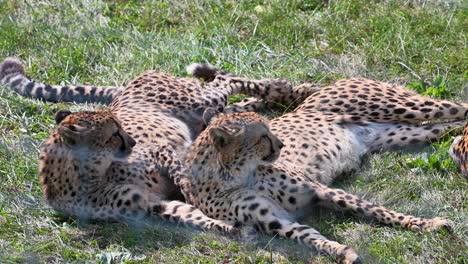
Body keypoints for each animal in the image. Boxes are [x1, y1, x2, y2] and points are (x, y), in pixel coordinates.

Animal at [0, 58, 304, 231]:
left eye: (120, 128)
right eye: (114, 133)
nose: (133, 142)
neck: (88, 178)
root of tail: (125, 86)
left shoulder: (162, 152)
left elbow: (182, 177)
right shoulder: (148, 204)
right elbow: (187, 215)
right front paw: (229, 228)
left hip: (198, 99)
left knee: (226, 81)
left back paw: (287, 87)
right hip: (208, 112)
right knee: (231, 107)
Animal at [179, 112, 454, 264]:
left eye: (270, 130)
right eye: (263, 136)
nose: (281, 144)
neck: (236, 175)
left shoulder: (320, 190)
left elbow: (374, 209)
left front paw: (425, 224)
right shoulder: (274, 220)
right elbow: (305, 235)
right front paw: (342, 252)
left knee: (452, 123)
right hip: (396, 137)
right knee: (436, 129)